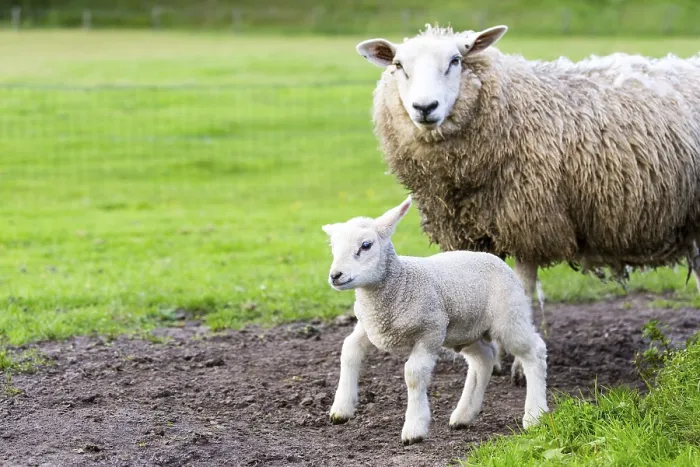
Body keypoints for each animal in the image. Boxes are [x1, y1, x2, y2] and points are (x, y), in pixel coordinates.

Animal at [321, 196, 548, 445]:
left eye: (366, 245)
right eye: (333, 248)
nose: (335, 276)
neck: (400, 284)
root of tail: (495, 259)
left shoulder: (430, 332)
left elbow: (414, 374)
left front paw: (414, 428)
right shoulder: (370, 327)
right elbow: (349, 350)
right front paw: (341, 409)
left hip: (509, 316)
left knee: (534, 352)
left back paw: (534, 415)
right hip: (465, 331)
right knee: (483, 359)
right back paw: (463, 415)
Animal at [354, 23, 700, 308]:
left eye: (455, 60)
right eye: (399, 66)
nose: (425, 107)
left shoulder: (528, 225)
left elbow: (520, 295)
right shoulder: (470, 233)